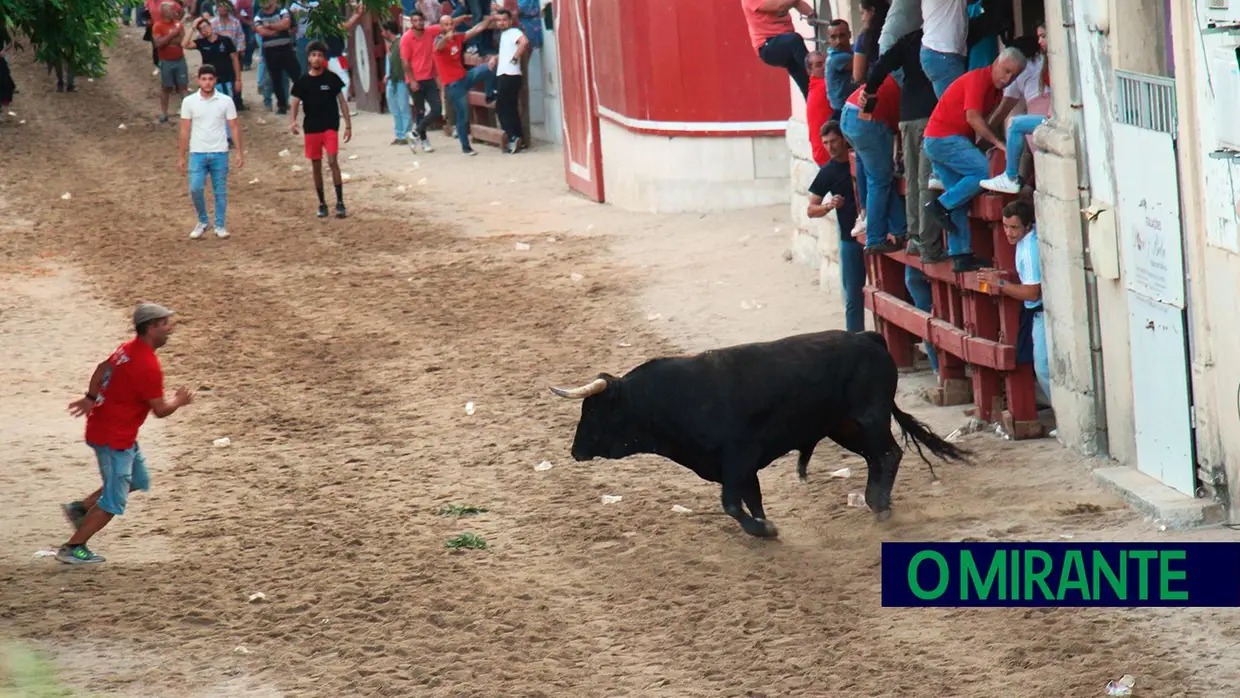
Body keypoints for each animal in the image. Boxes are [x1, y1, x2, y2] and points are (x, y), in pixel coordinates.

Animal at [550, 329, 967, 538]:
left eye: (593, 410)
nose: (574, 451)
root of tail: (868, 336)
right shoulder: (740, 468)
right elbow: (752, 499)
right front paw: (765, 524)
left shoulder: (738, 459)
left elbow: (732, 505)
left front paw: (764, 530)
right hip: (843, 426)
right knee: (875, 457)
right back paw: (876, 501)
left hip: (870, 416)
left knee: (889, 454)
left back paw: (878, 504)